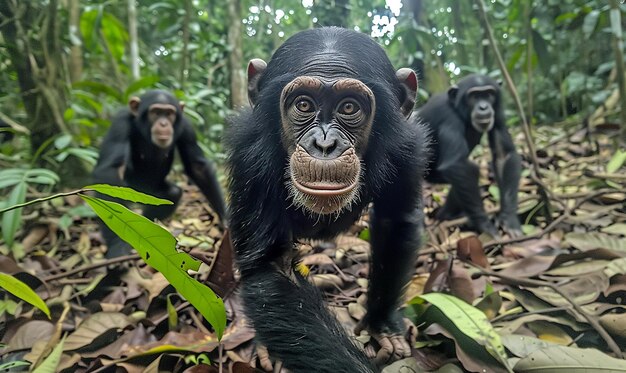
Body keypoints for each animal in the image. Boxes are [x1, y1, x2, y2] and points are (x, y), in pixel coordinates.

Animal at [92, 90, 227, 258]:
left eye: (169, 113)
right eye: (156, 112)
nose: (163, 123)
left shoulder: (187, 127)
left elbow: (197, 167)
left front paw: (226, 220)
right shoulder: (120, 123)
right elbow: (112, 170)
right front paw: (118, 246)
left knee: (173, 193)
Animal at [222, 27, 426, 370]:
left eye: (349, 108)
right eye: (304, 104)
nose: (325, 144)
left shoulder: (408, 150)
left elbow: (394, 225)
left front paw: (383, 325)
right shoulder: (249, 154)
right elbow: (274, 265)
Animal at [420, 74, 520, 237]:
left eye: (488, 94)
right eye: (474, 96)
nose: (483, 107)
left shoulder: (498, 113)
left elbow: (503, 156)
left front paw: (509, 219)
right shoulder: (450, 119)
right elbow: (456, 163)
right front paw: (486, 225)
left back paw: (446, 215)